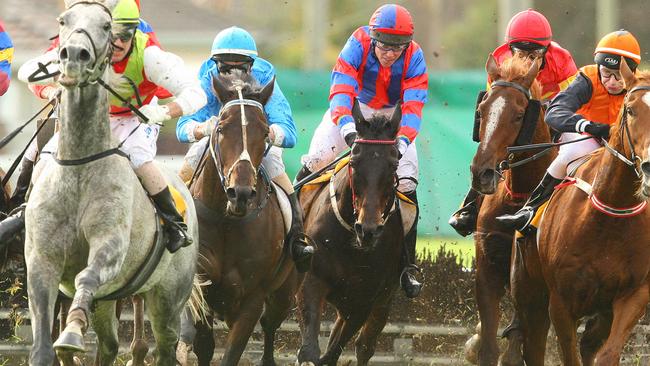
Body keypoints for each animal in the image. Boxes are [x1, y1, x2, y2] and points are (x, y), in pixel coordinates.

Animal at [24, 1, 197, 364]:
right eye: (63, 21)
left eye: (106, 25)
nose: (74, 55)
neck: (78, 168)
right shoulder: (41, 260)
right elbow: (43, 341)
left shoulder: (111, 246)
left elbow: (87, 274)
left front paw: (72, 331)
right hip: (108, 302)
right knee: (108, 345)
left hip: (167, 299)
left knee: (165, 345)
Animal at [296, 100, 402, 366]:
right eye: (354, 162)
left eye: (394, 164)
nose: (369, 230)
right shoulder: (311, 280)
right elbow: (311, 351)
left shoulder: (365, 300)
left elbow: (333, 352)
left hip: (382, 301)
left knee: (364, 345)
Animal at [464, 55, 556, 366]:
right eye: (481, 110)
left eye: (518, 115)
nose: (482, 172)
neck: (518, 199)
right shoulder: (488, 260)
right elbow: (488, 345)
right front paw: (478, 342)